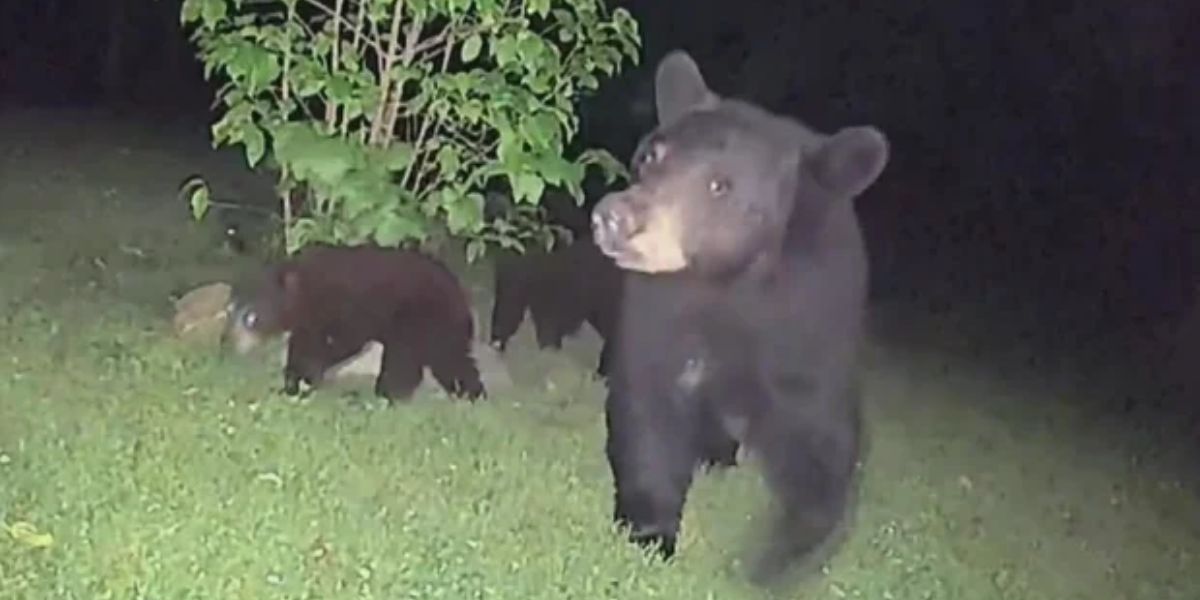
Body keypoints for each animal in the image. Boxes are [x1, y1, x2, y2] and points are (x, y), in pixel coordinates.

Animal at [226, 244, 486, 402]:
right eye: (230, 310)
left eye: (251, 317)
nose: (231, 344)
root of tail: (461, 298)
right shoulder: (310, 320)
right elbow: (302, 343)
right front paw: (293, 382)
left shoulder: (346, 306)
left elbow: (336, 343)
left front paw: (305, 377)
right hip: (440, 328)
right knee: (451, 359)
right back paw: (471, 393)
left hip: (418, 316)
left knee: (405, 358)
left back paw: (386, 393)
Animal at [589, 50, 888, 585]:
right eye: (652, 156)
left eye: (720, 184)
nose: (615, 218)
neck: (732, 293)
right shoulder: (661, 317)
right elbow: (648, 409)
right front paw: (651, 530)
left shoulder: (809, 340)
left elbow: (825, 455)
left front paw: (769, 562)